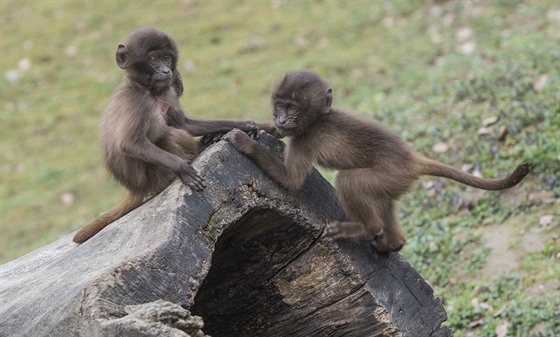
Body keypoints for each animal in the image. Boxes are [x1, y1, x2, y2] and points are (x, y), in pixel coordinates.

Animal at [72, 26, 258, 242]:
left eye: (166, 58)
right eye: (153, 59)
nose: (166, 71)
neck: (150, 91)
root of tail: (135, 187)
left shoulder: (167, 91)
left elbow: (185, 125)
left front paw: (243, 125)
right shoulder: (138, 100)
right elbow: (130, 144)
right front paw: (182, 168)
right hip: (154, 176)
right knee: (168, 135)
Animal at [223, 69, 528, 251]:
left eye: (292, 108)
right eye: (280, 106)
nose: (282, 119)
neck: (317, 119)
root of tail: (410, 160)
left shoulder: (305, 139)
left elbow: (292, 181)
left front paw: (244, 142)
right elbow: (272, 135)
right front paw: (246, 127)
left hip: (392, 176)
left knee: (350, 181)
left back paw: (367, 229)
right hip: (394, 183)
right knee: (382, 201)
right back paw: (393, 243)